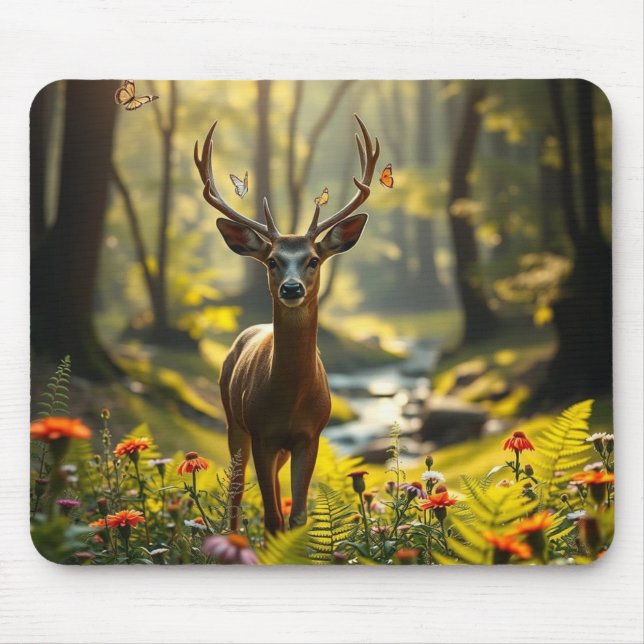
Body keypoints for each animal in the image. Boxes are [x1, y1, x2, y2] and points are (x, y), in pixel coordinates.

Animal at [194, 114, 380, 533]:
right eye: (272, 261)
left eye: (313, 259)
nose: (291, 288)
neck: (289, 400)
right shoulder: (262, 433)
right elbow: (272, 517)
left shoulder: (310, 435)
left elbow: (296, 516)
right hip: (233, 420)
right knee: (237, 492)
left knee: (274, 494)